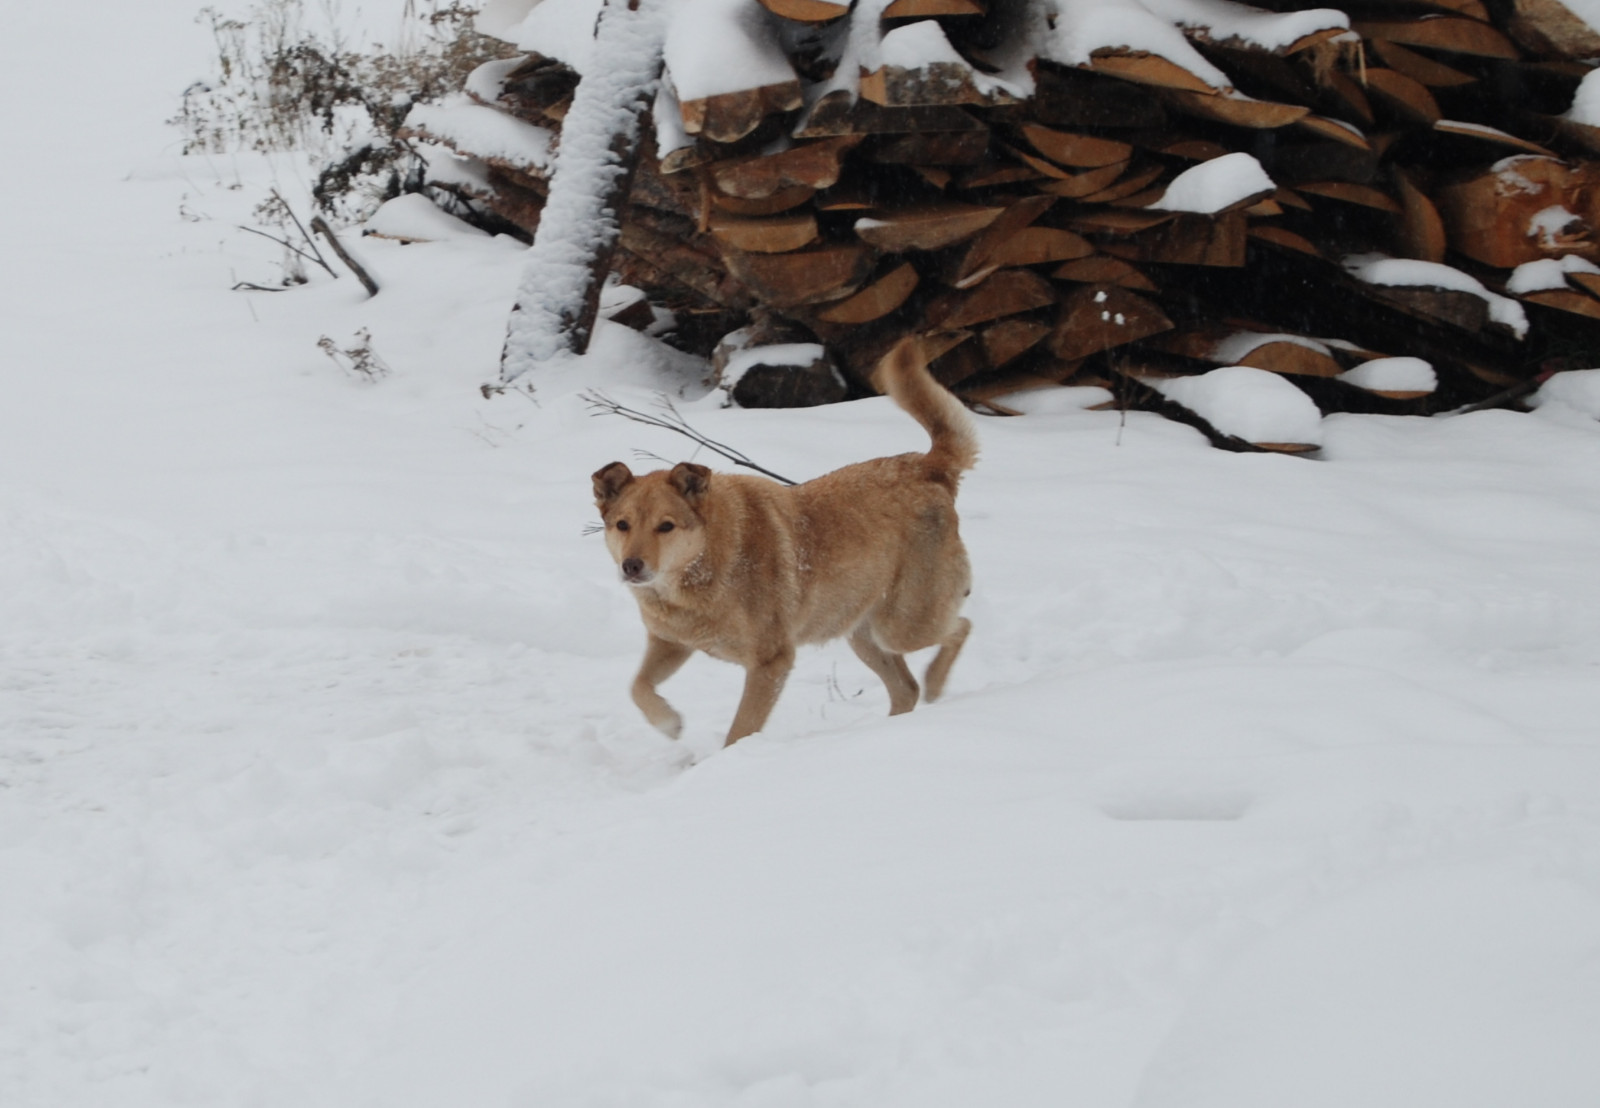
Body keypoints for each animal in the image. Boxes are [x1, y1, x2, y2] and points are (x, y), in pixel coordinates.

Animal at [598, 339, 979, 742]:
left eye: (666, 526)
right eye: (622, 524)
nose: (631, 566)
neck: (706, 565)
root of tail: (927, 466)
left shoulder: (771, 661)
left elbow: (740, 731)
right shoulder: (671, 644)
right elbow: (637, 687)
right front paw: (669, 724)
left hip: (901, 625)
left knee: (959, 629)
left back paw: (935, 684)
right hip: (863, 633)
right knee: (907, 687)